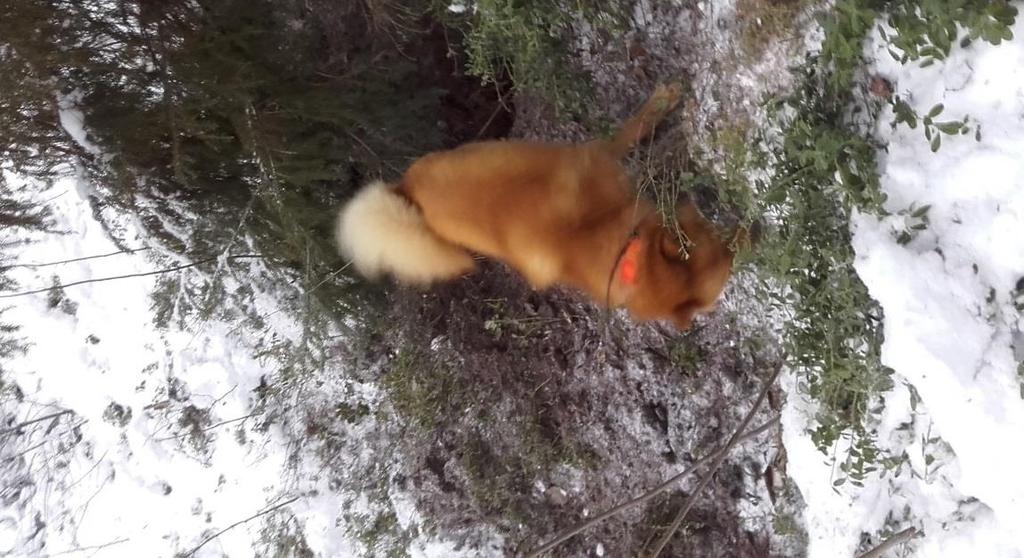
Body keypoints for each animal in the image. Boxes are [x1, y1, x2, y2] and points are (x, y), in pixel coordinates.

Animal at [339, 84, 741, 327]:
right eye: (712, 237)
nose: (746, 235)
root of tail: (405, 189)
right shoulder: (600, 154)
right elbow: (633, 131)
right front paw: (664, 104)